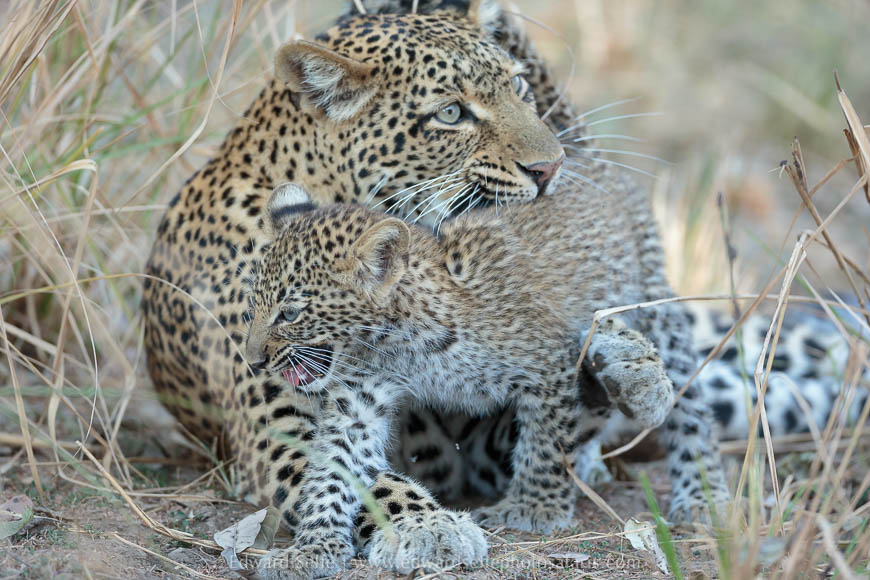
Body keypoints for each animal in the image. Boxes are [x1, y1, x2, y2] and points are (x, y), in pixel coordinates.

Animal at [244, 180, 676, 541]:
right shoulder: (365, 389)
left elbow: (547, 445)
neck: (402, 344)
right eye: (255, 306)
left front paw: (535, 507)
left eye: (289, 314)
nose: (253, 360)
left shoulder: (548, 363)